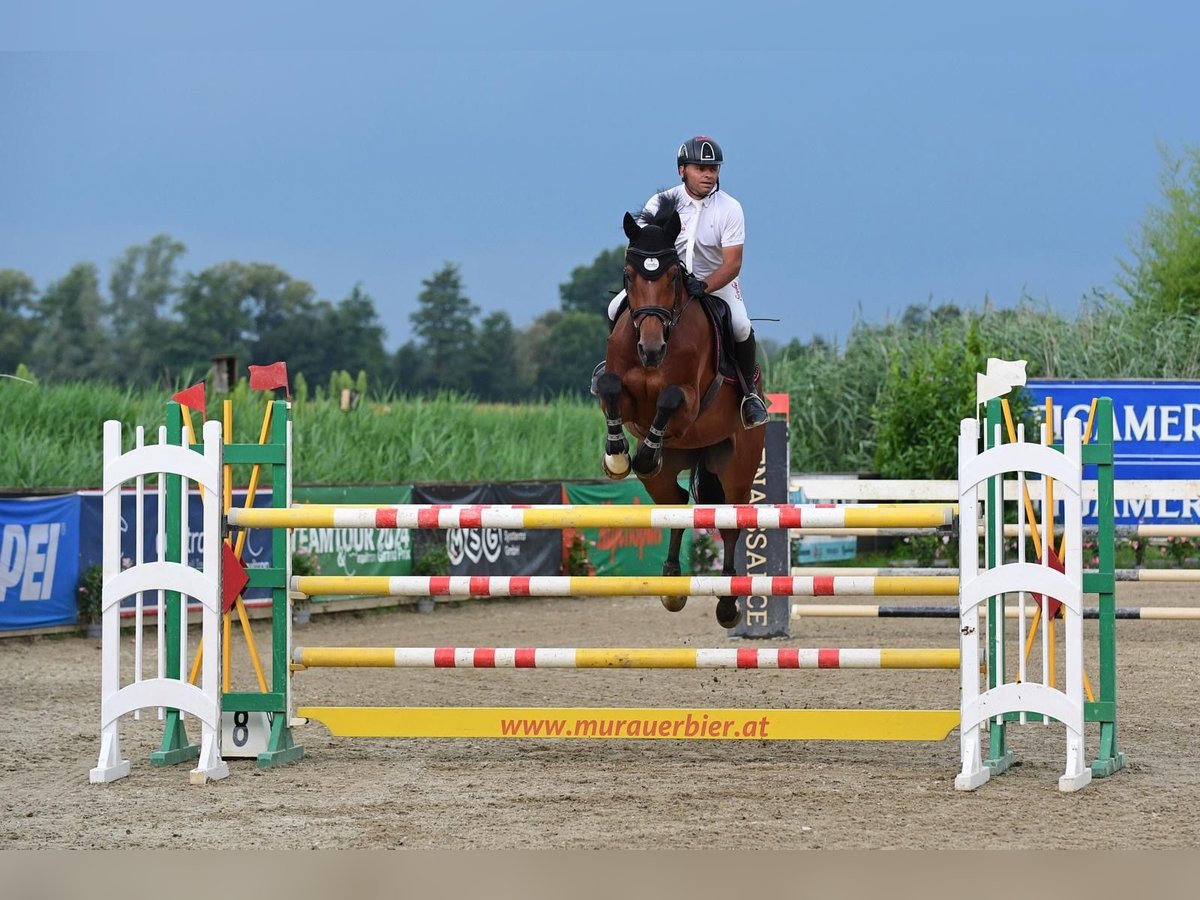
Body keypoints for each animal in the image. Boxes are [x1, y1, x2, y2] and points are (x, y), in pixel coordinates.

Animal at [592, 192, 768, 628]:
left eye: (673, 276)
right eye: (629, 275)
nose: (651, 349)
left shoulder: (689, 403)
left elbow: (670, 399)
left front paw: (640, 451)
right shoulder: (625, 395)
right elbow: (610, 388)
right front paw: (616, 456)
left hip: (736, 466)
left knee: (730, 524)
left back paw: (728, 603)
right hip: (672, 469)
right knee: (673, 503)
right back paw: (671, 584)